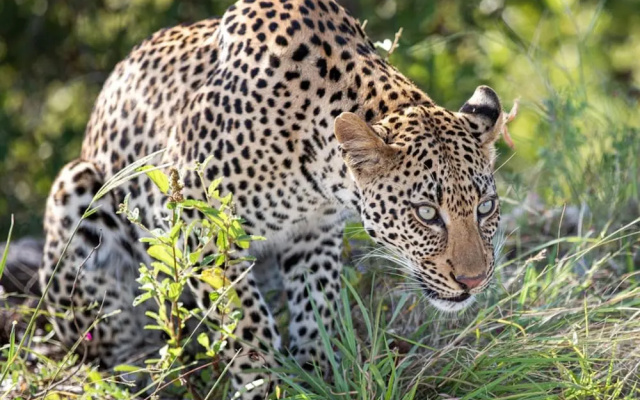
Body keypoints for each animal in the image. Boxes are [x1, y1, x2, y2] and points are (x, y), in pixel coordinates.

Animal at [40, 0, 513, 398]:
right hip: (76, 192)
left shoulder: (314, 232)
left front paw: (318, 374)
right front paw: (265, 385)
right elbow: (246, 324)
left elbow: (316, 303)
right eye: (426, 213)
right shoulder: (201, 225)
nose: (474, 282)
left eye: (485, 207)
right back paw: (141, 371)